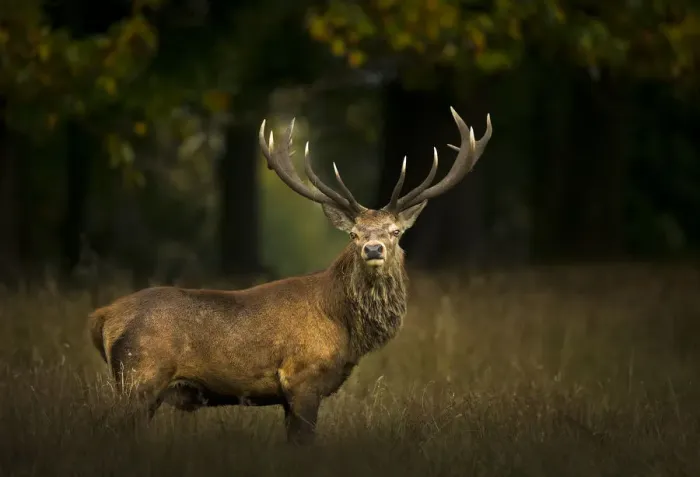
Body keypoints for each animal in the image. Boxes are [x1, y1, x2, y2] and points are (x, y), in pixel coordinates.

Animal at [88, 106, 492, 445]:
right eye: (354, 234)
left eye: (394, 232)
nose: (373, 248)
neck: (345, 327)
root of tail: (103, 317)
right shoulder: (303, 377)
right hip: (140, 376)